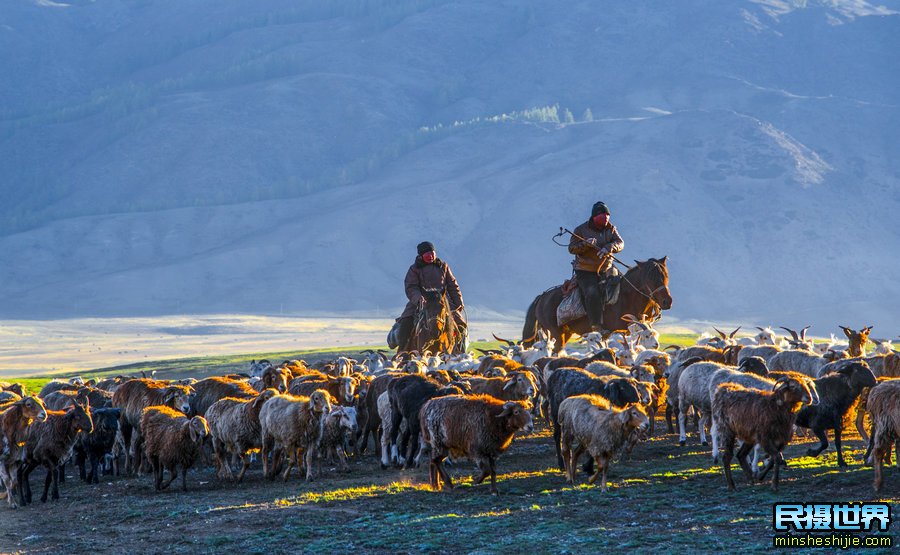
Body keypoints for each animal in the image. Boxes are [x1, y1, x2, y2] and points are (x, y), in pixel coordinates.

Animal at [524, 260, 672, 354]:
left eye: (666, 275)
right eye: (650, 277)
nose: (667, 301)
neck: (626, 296)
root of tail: (542, 297)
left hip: (565, 333)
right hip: (555, 332)